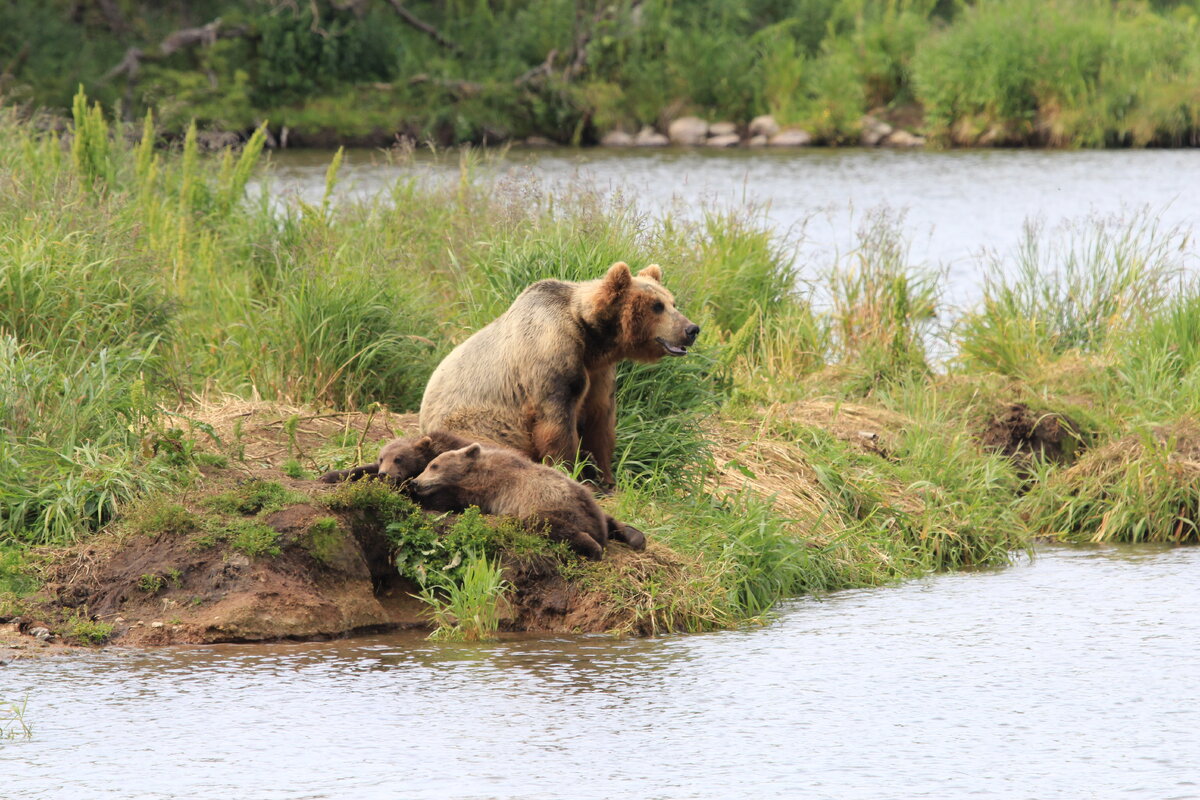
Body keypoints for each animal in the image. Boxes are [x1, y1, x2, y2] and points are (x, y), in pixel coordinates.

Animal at [422, 262, 700, 489]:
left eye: (672, 303)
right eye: (657, 306)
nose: (692, 329)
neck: (592, 339)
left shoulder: (599, 373)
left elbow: (600, 422)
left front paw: (606, 477)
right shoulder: (552, 355)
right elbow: (557, 423)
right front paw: (570, 471)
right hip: (477, 425)